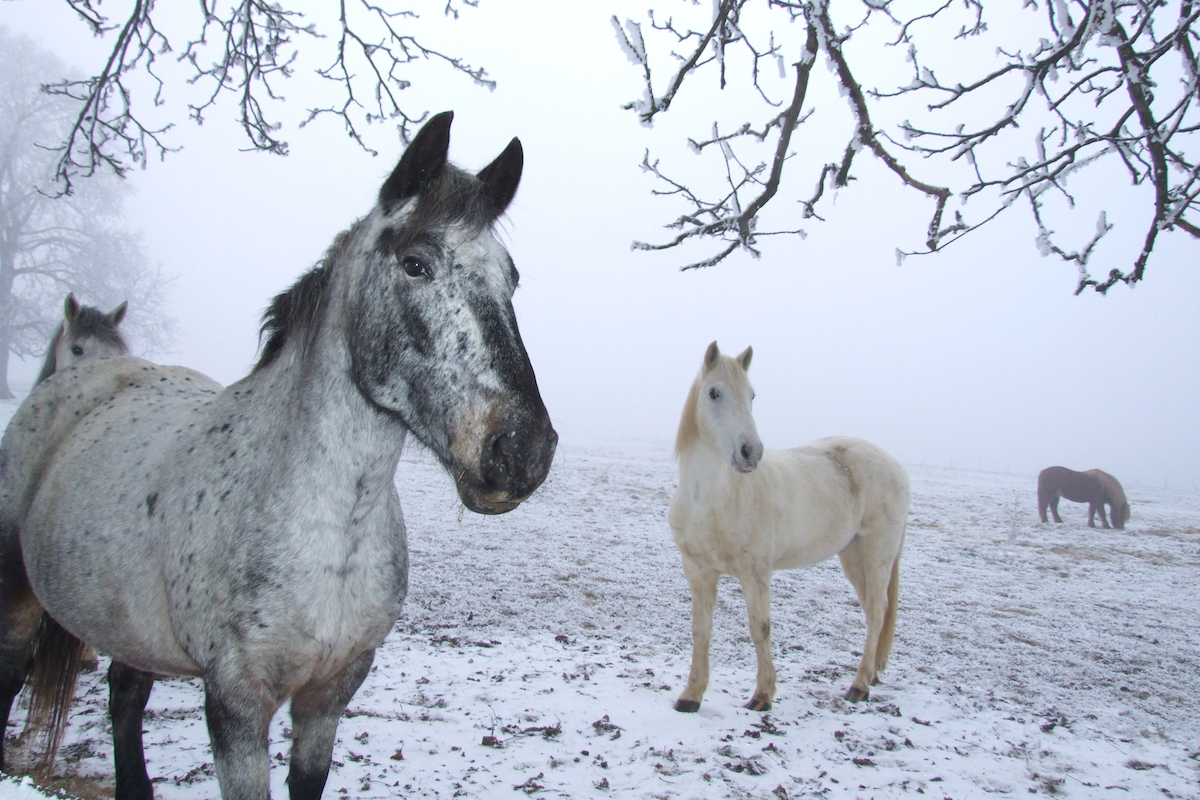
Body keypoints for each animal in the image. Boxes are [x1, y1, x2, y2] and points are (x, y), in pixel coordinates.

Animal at [0, 110, 554, 800]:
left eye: (512, 278)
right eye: (415, 264)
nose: (523, 450)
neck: (329, 528)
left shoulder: (329, 696)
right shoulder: (236, 705)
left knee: (125, 698)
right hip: (16, 598)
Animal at [667, 340, 907, 710]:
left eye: (752, 395)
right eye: (714, 393)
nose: (751, 452)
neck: (708, 499)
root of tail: (896, 466)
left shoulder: (755, 572)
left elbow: (760, 627)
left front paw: (763, 694)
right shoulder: (698, 570)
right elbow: (701, 629)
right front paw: (691, 695)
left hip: (876, 554)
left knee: (878, 611)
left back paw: (859, 686)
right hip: (852, 556)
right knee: (871, 610)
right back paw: (870, 677)